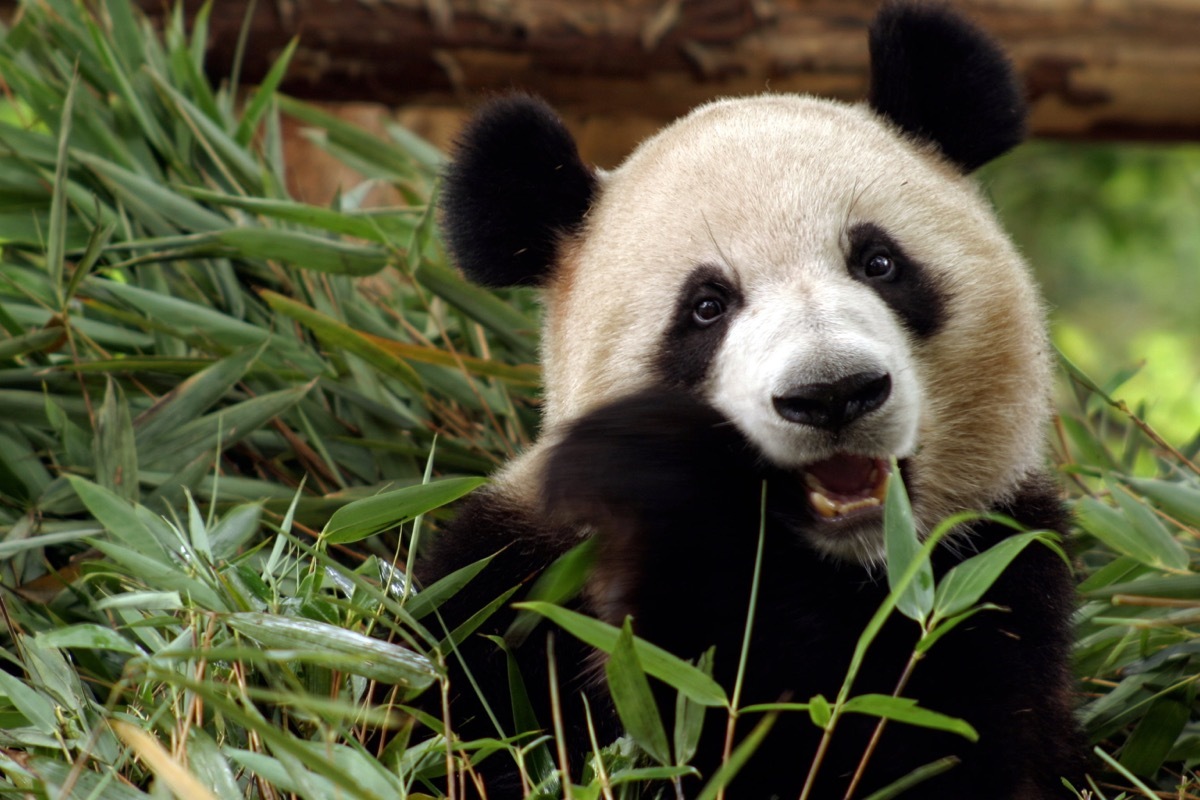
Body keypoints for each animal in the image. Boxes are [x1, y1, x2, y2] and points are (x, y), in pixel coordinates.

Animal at [417, 3, 1094, 796]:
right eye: (707, 307)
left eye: (880, 262)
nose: (832, 393)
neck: (841, 566)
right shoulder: (511, 587)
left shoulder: (993, 574)